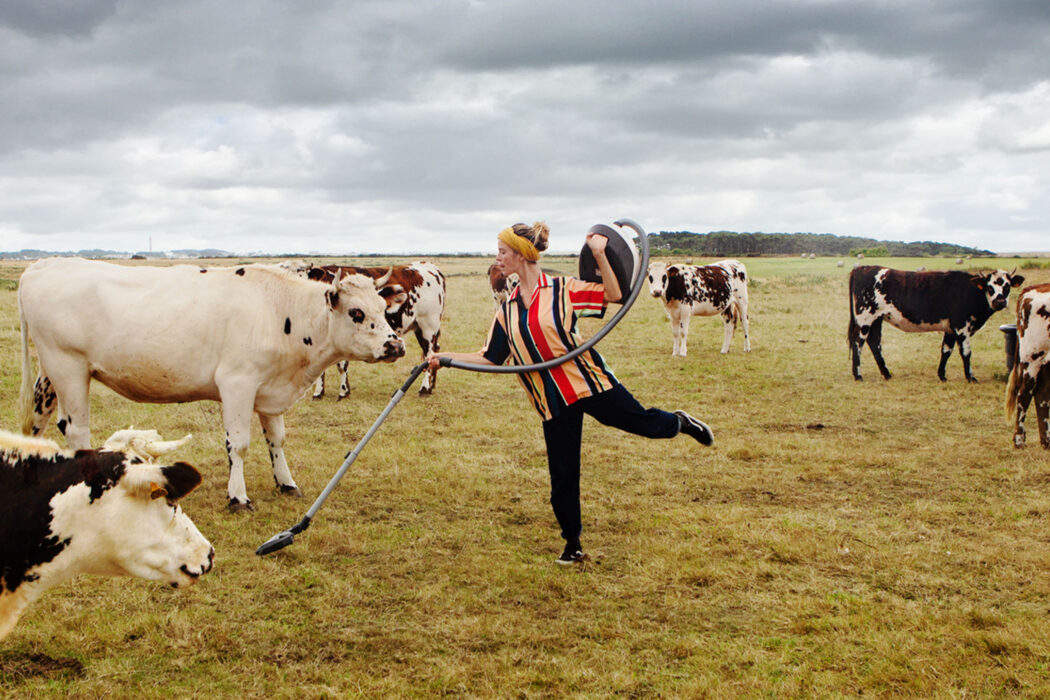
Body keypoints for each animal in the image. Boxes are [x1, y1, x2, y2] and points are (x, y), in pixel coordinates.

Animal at [19, 257, 409, 510]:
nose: (396, 345)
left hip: (51, 375)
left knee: (40, 421)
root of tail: (43, 265)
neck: (280, 311)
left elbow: (276, 440)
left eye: (382, 308)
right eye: (356, 313)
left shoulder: (270, 390)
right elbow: (238, 445)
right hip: (68, 367)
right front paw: (238, 497)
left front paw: (286, 483)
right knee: (76, 430)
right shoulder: (237, 384)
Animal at [302, 261, 445, 396]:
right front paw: (319, 392)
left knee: (429, 355)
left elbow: (341, 366)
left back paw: (424, 388)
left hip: (428, 327)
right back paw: (431, 386)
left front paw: (343, 392)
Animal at [844, 264, 1024, 384]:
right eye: (990, 287)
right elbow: (966, 352)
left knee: (874, 342)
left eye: (1007, 287)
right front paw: (971, 377)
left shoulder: (950, 329)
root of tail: (863, 268)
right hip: (865, 317)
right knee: (858, 341)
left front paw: (942, 375)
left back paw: (886, 373)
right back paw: (858, 374)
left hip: (877, 319)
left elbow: (946, 350)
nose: (1000, 302)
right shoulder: (962, 327)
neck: (971, 291)